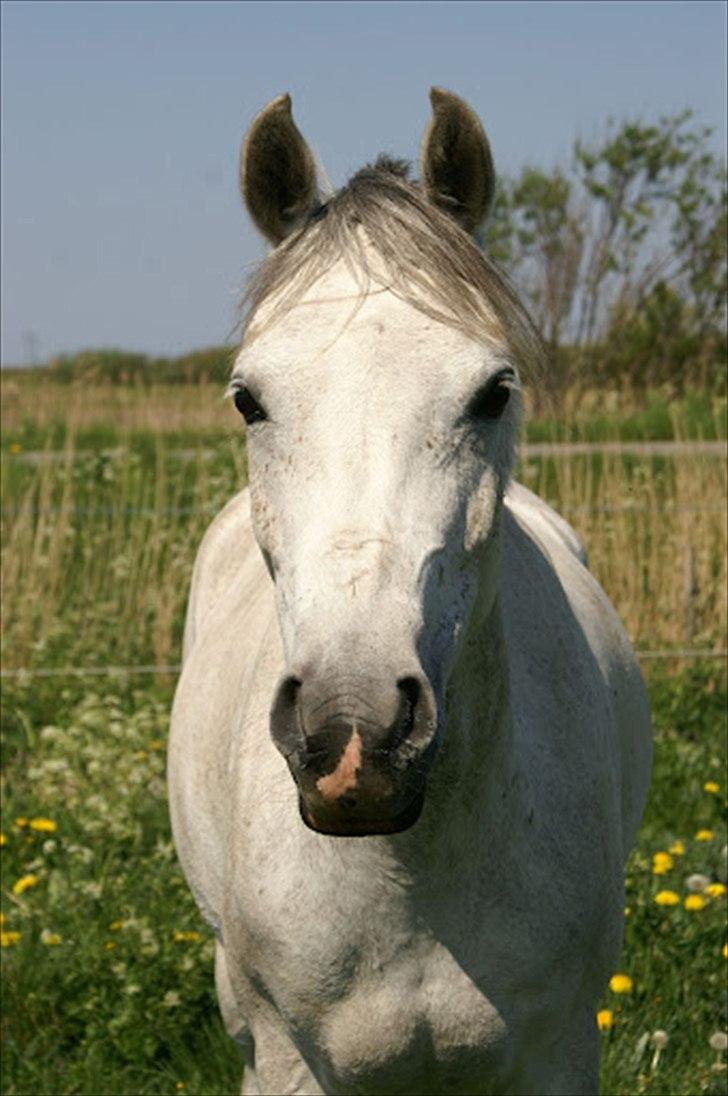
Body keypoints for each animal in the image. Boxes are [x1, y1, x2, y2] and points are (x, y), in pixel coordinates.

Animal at [168, 89, 649, 1091]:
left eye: (494, 392)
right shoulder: (285, 1063)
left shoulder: (557, 1053)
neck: (411, 874)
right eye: (247, 398)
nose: (355, 735)